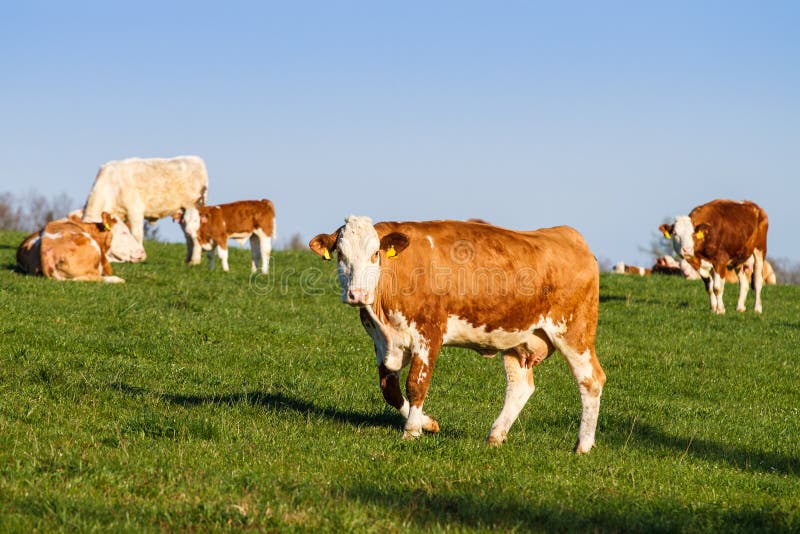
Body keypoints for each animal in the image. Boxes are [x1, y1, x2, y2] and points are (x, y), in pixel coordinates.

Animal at [308, 216, 608, 454]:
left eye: (375, 254)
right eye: (340, 254)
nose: (357, 294)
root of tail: (568, 235)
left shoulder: (429, 333)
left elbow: (416, 384)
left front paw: (411, 431)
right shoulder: (382, 342)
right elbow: (390, 391)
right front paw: (428, 424)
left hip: (574, 331)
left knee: (591, 380)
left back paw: (583, 445)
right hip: (517, 338)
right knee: (520, 385)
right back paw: (495, 435)